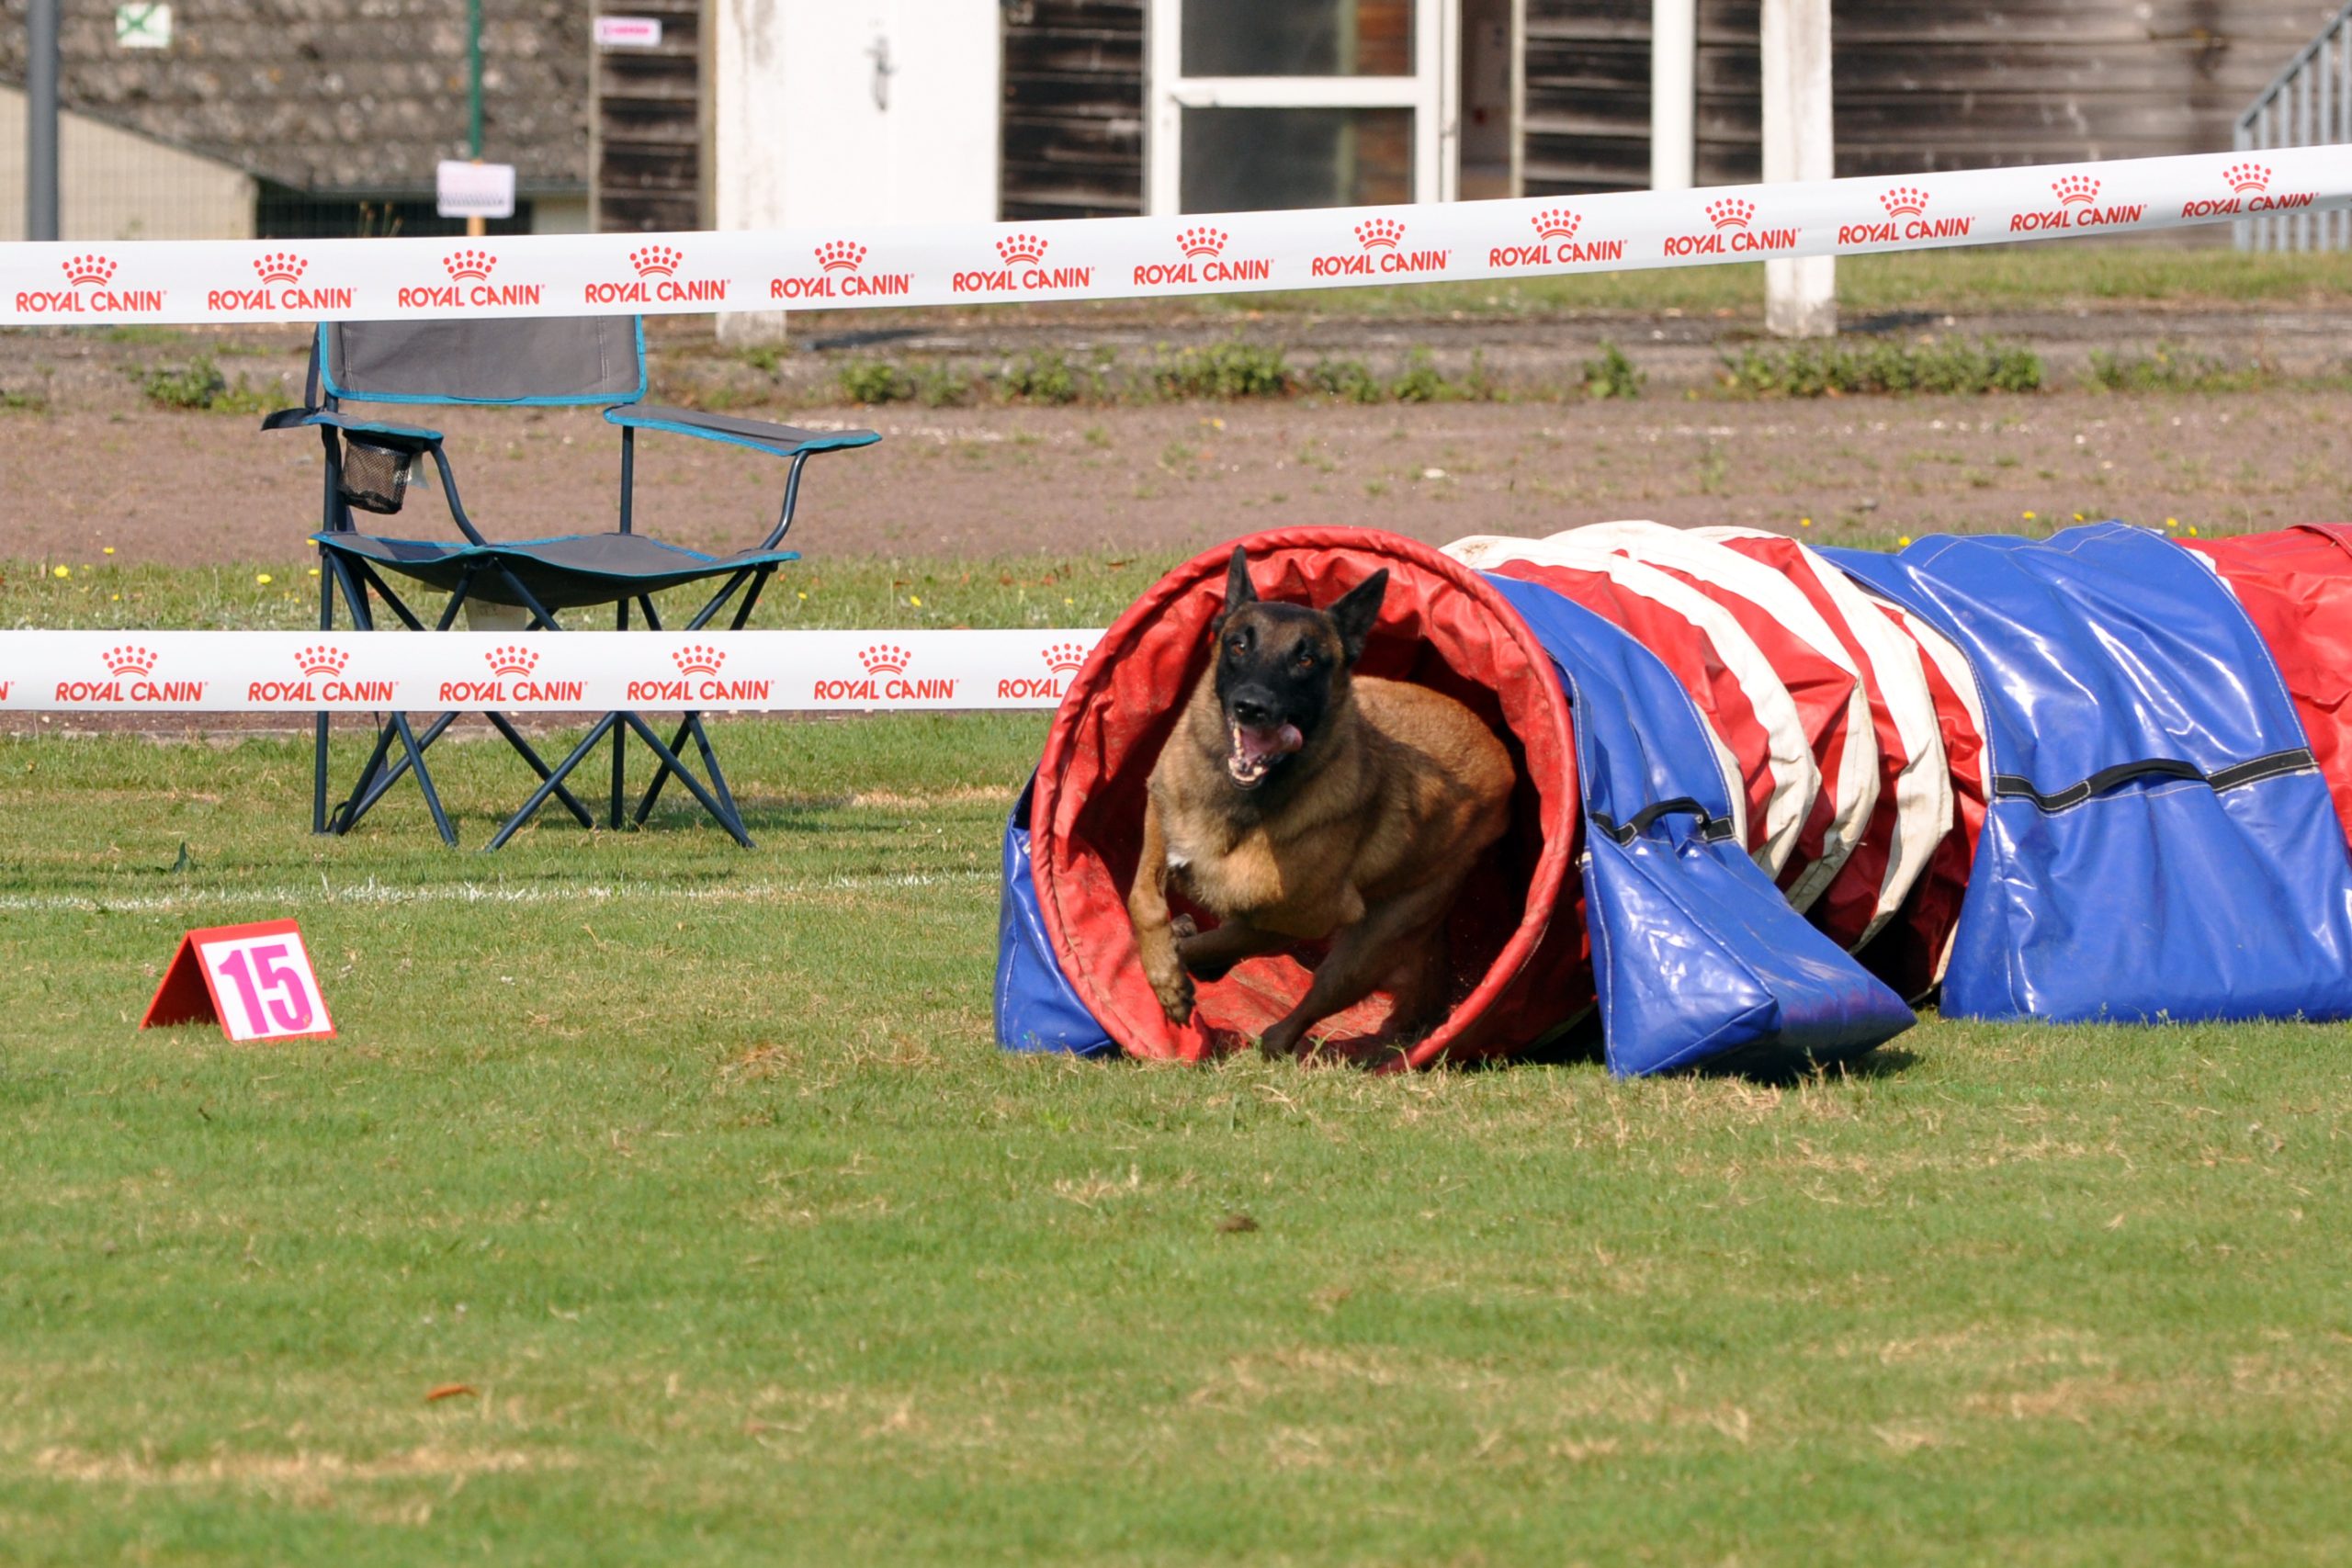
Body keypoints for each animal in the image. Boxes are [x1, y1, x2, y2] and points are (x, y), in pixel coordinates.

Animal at [1128, 547, 1516, 1057]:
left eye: (1307, 659)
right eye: (1238, 646)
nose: (1251, 706)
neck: (1245, 803)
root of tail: (1501, 758)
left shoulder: (1305, 918)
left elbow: (1227, 939)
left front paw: (1180, 970)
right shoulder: (1160, 818)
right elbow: (1143, 901)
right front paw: (1166, 972)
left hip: (1368, 946)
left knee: (1311, 1002)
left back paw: (1276, 1036)